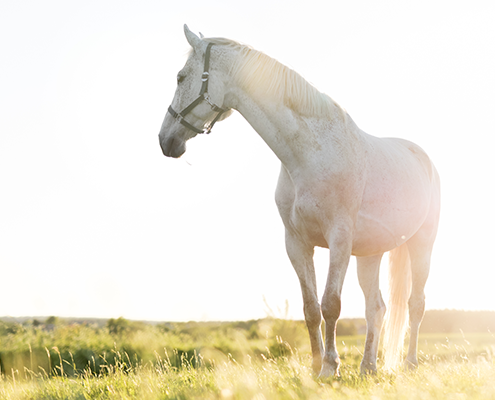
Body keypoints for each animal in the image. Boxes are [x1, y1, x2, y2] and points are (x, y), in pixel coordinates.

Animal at [160, 25, 442, 378]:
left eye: (181, 77)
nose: (165, 140)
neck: (308, 154)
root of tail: (423, 158)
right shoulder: (296, 243)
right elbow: (310, 308)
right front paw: (315, 366)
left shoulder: (339, 240)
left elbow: (331, 304)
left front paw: (331, 367)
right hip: (370, 253)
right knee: (376, 307)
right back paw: (367, 367)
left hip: (422, 244)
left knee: (415, 304)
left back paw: (410, 363)